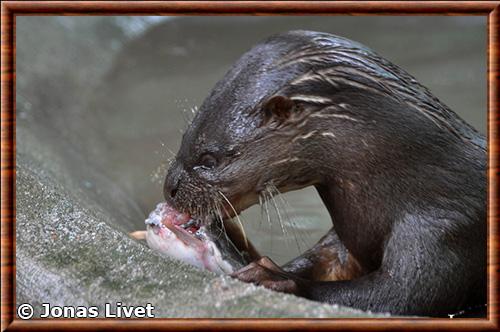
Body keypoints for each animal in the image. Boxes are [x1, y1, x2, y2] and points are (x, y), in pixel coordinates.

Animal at [162, 31, 486, 316]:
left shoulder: (444, 231)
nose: (169, 188)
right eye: (185, 138)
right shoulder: (343, 242)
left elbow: (400, 298)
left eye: (209, 159)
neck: (416, 178)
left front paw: (270, 276)